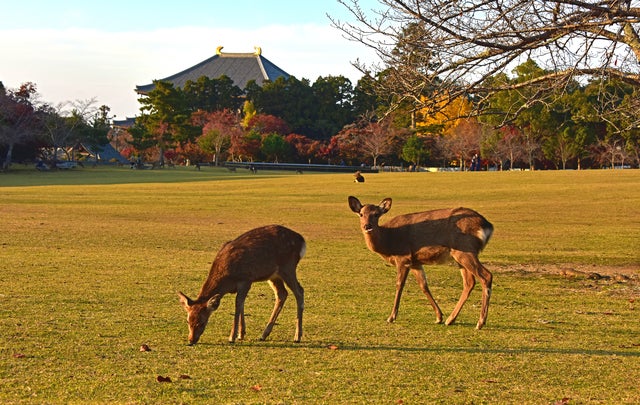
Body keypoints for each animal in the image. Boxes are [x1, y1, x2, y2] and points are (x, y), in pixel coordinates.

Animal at [348, 196, 494, 330]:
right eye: (361, 214)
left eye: (376, 214)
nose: (367, 226)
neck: (388, 241)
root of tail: (488, 226)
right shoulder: (415, 262)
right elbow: (424, 285)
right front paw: (439, 317)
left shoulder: (403, 257)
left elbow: (399, 285)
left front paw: (391, 317)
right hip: (460, 255)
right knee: (469, 282)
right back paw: (450, 319)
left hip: (465, 249)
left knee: (486, 276)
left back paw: (480, 322)